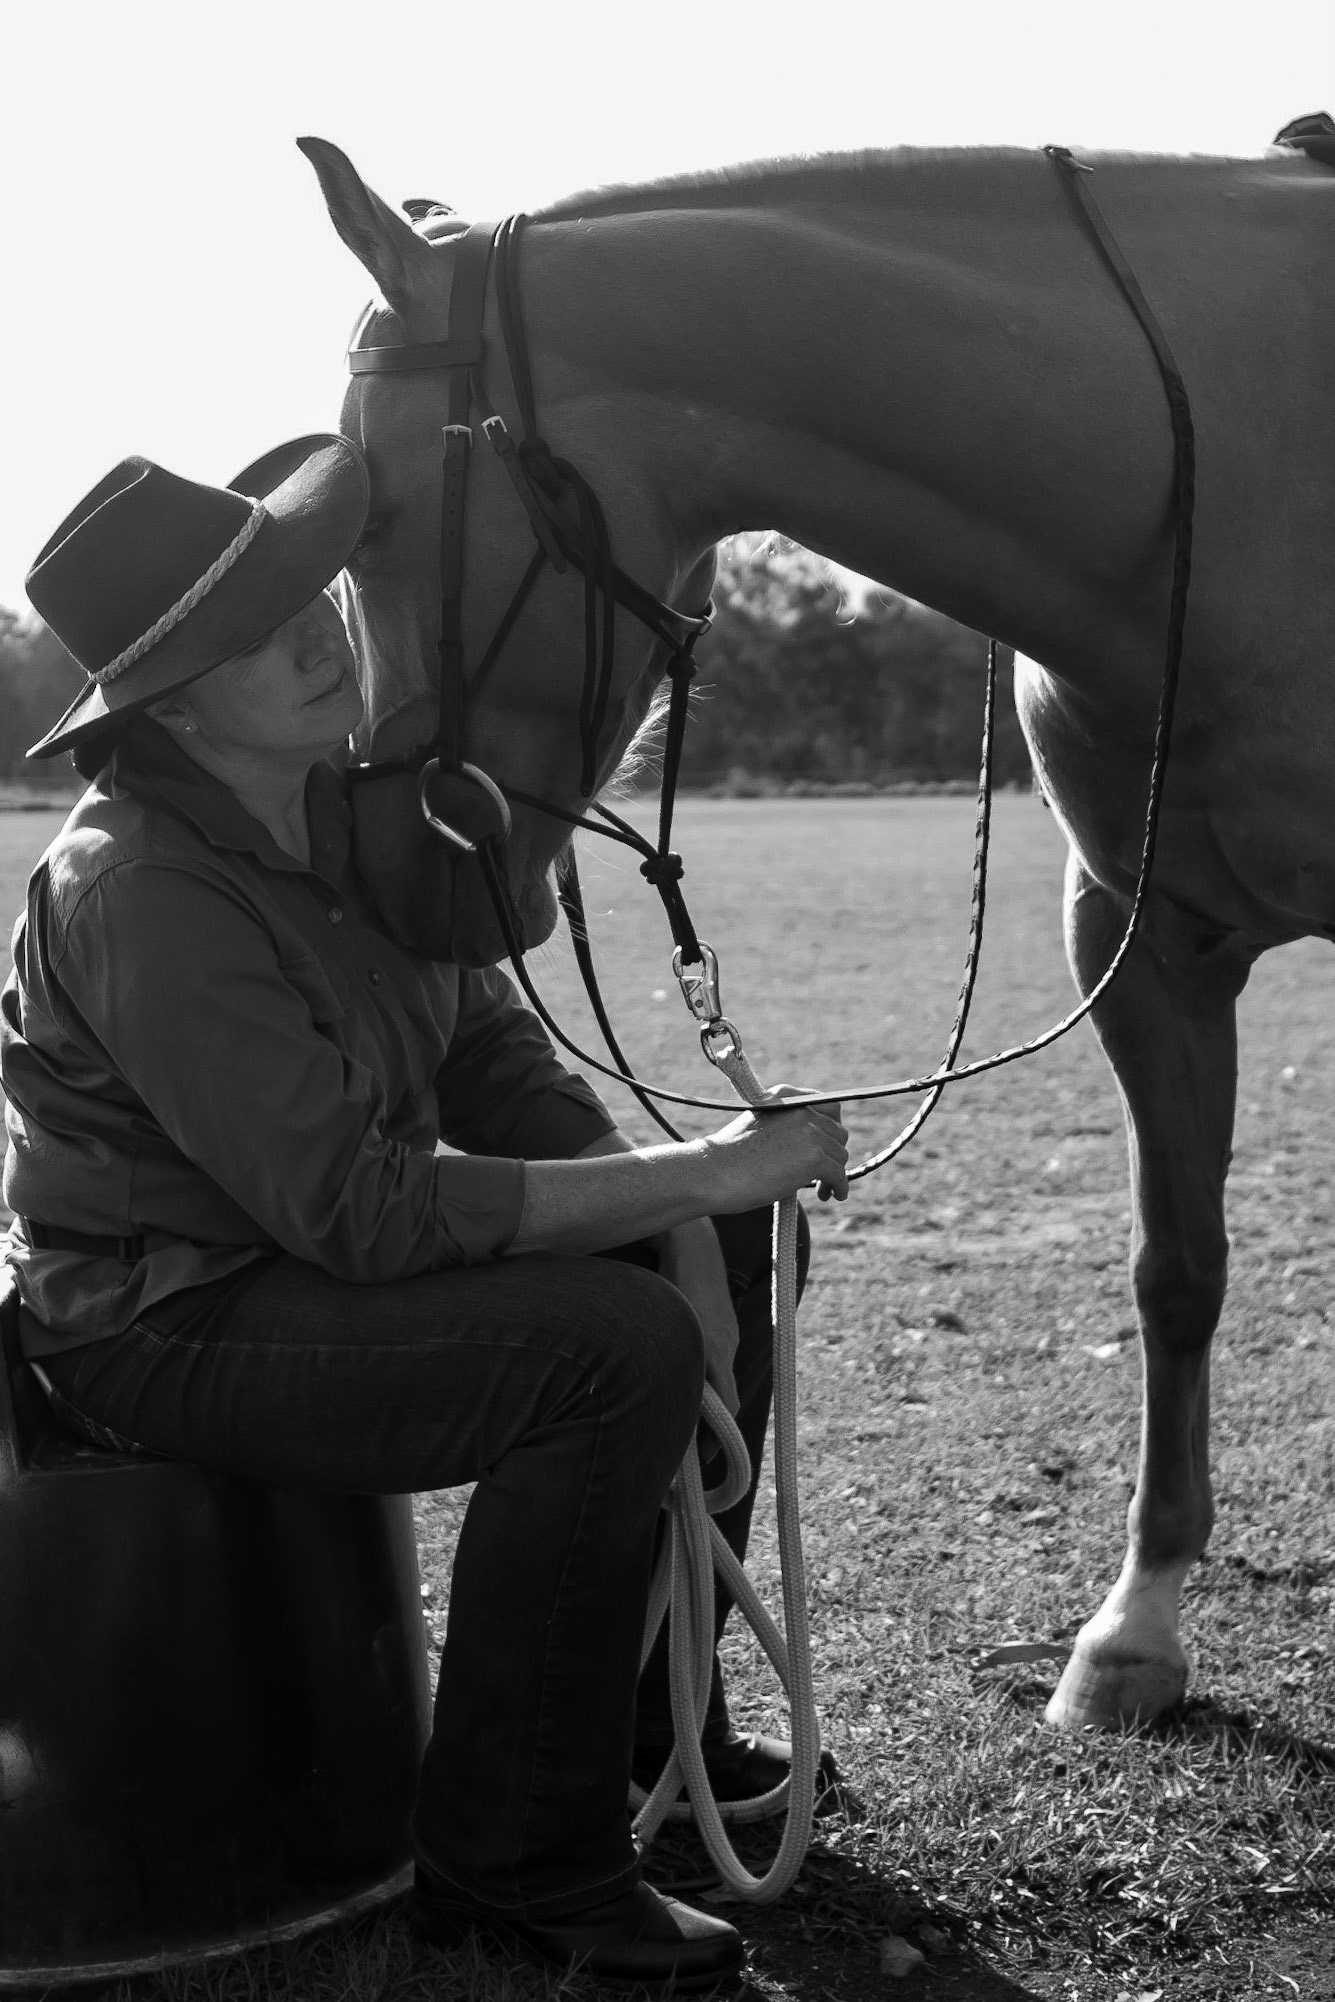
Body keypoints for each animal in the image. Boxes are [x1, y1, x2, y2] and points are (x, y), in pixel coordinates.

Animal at [297, 132, 1335, 1734]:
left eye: (385, 519)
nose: (386, 865)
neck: (1234, 477)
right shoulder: (1142, 942)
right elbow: (1175, 1270)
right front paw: (1132, 1632)